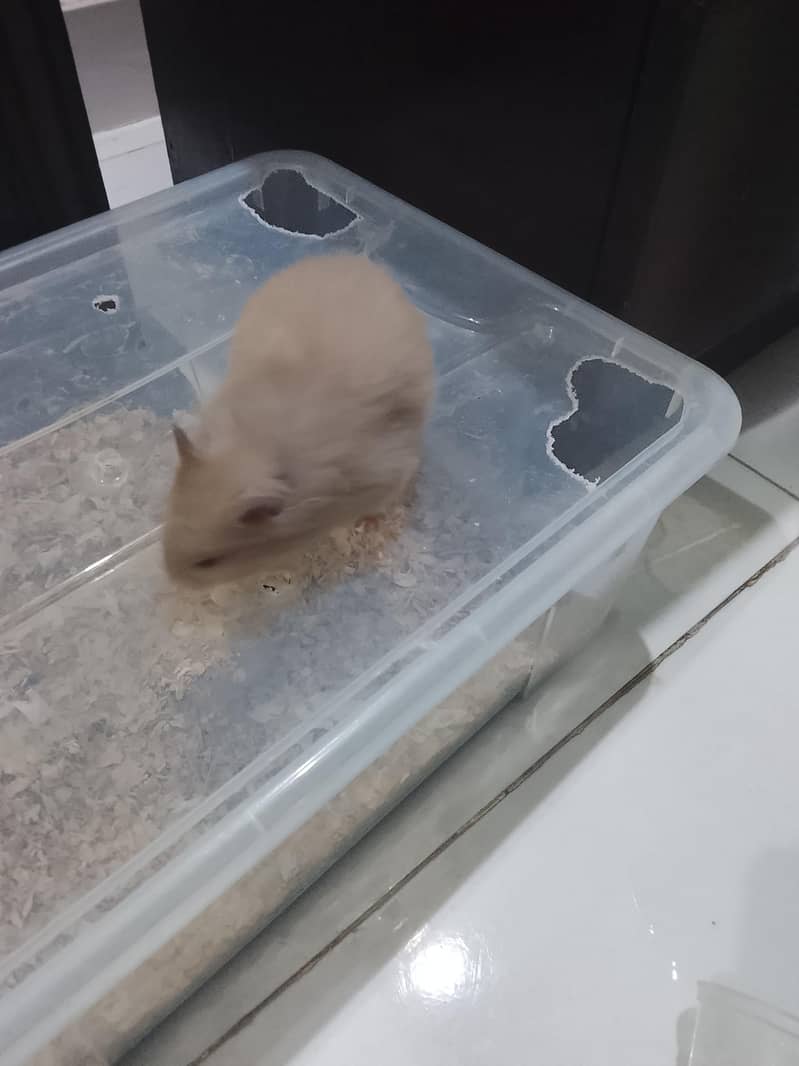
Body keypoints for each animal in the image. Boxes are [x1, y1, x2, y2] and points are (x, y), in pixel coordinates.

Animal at [162, 253, 434, 587]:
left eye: (208, 562)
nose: (171, 578)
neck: (258, 444)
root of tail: (360, 259)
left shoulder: (387, 473)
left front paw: (368, 525)